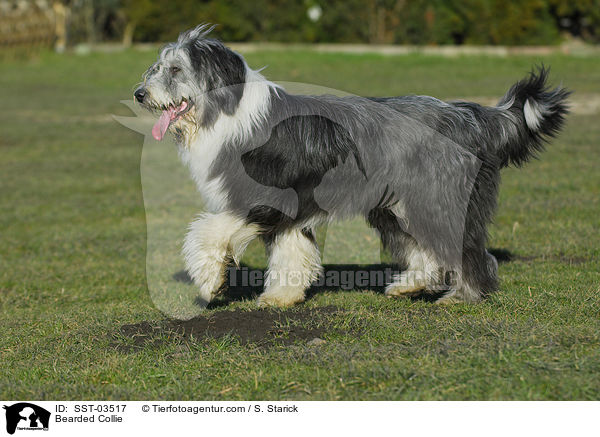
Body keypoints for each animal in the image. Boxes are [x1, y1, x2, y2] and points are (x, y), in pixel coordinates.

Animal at [134, 23, 568, 306]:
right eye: (157, 66)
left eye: (176, 69)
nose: (139, 93)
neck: (227, 111)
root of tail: (472, 116)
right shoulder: (294, 205)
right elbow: (291, 249)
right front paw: (281, 296)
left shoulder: (262, 197)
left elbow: (205, 233)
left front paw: (211, 284)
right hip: (397, 205)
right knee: (424, 248)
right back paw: (410, 285)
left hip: (437, 198)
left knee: (467, 250)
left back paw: (463, 296)